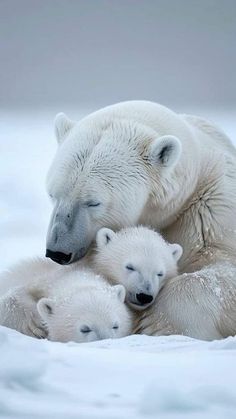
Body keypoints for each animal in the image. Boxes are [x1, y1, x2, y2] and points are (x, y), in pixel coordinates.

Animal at [45, 101, 236, 342]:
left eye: (93, 202)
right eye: (52, 194)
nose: (57, 252)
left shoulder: (212, 208)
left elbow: (219, 264)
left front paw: (156, 324)